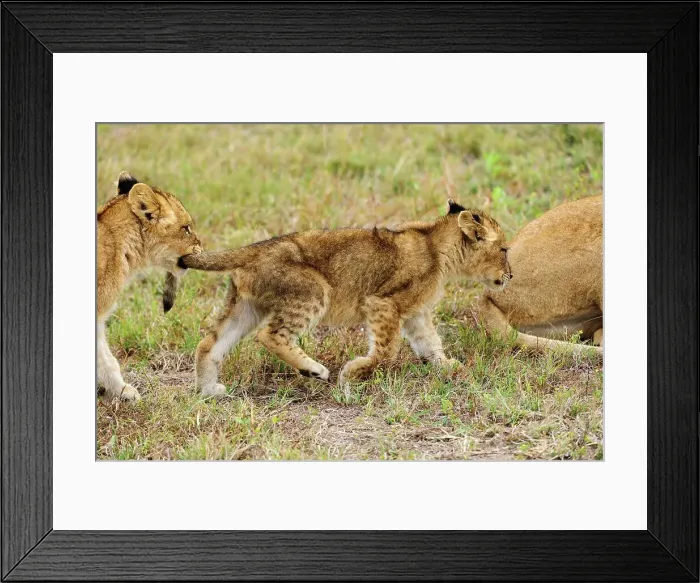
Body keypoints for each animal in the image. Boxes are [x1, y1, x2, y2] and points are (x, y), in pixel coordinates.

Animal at [97, 172, 203, 401]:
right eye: (186, 228)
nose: (202, 247)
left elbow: (106, 358)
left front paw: (123, 391)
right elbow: (106, 359)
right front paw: (125, 392)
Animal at [179, 199, 512, 396]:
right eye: (505, 250)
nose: (511, 275)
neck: (436, 245)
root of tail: (256, 248)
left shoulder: (416, 313)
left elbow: (430, 342)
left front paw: (448, 367)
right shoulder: (382, 302)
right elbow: (385, 351)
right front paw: (352, 374)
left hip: (247, 306)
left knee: (209, 343)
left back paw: (208, 390)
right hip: (312, 290)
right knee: (269, 335)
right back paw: (314, 370)